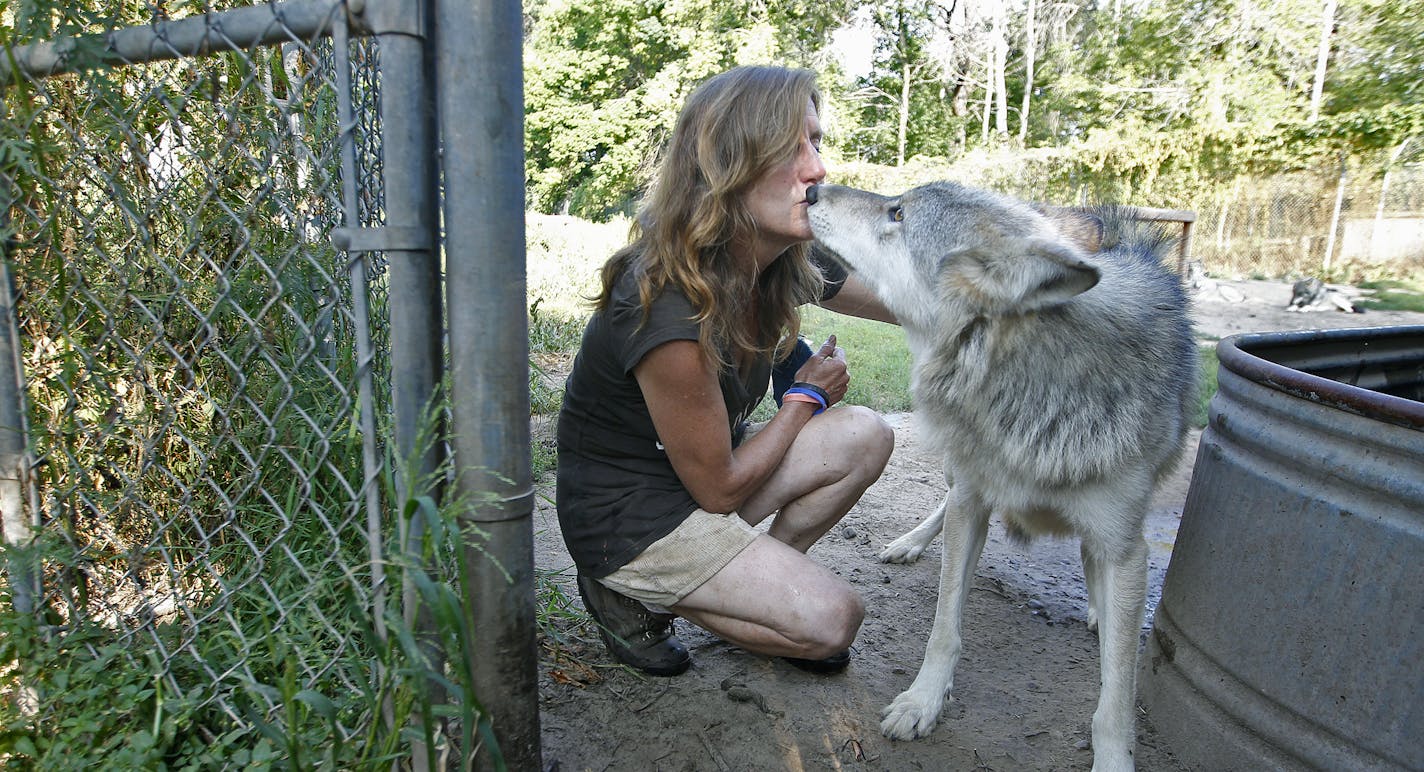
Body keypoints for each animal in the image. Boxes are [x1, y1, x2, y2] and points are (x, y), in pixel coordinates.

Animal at [808, 183, 1196, 772]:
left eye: (898, 213)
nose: (810, 189)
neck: (1028, 387)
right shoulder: (972, 502)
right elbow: (944, 628)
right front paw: (923, 703)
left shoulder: (1124, 546)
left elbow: (1116, 695)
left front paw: (1113, 757)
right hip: (956, 469)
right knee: (943, 503)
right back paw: (908, 543)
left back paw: (1097, 608)